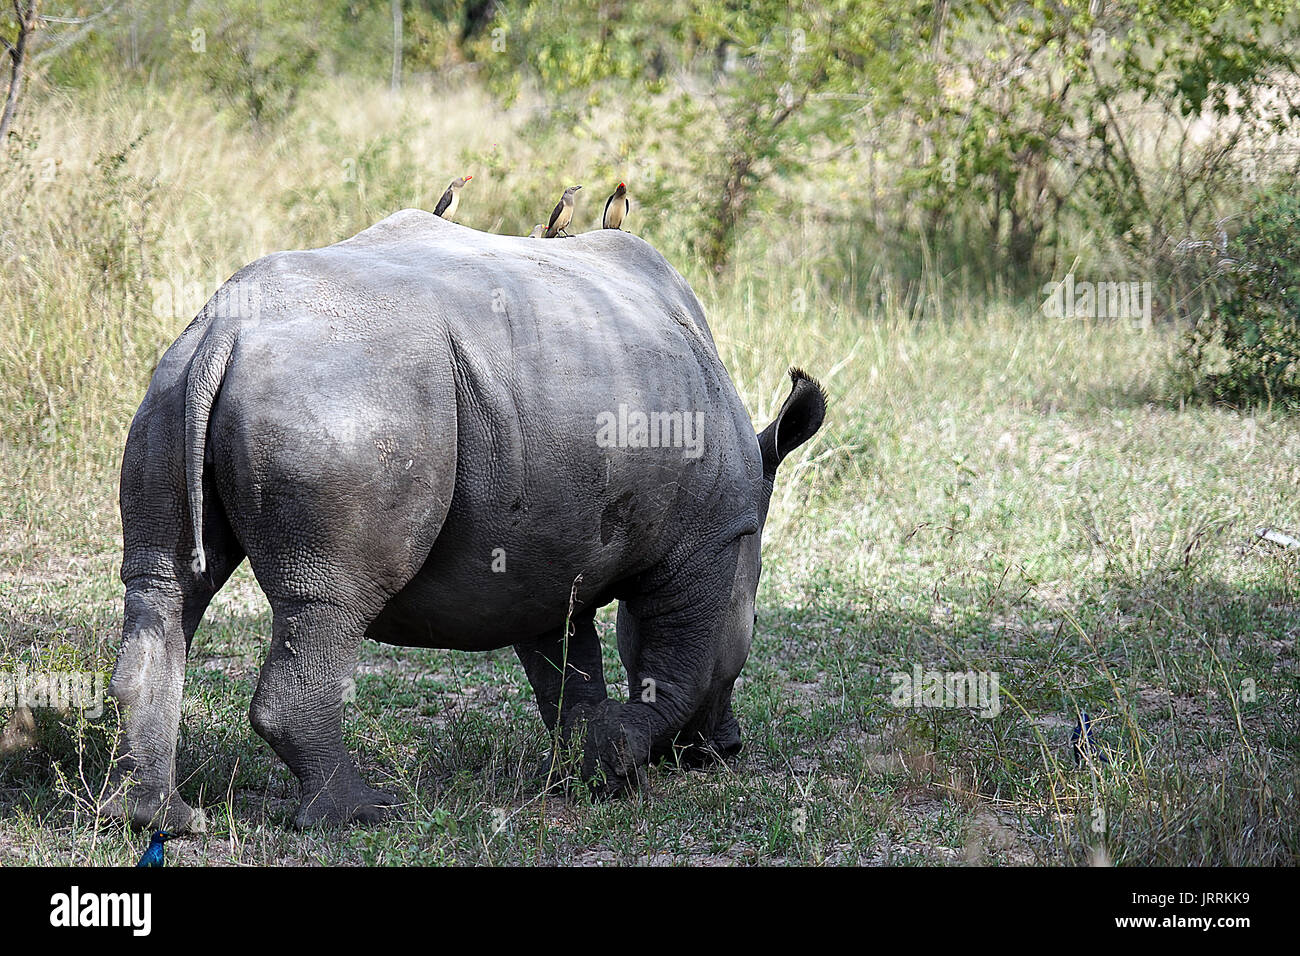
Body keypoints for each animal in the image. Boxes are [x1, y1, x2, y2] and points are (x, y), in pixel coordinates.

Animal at [106, 209, 826, 832]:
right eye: (757, 599)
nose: (725, 748)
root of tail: (226, 335)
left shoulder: (544, 544)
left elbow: (568, 663)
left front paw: (590, 768)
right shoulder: (712, 538)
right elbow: (681, 658)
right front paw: (624, 756)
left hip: (173, 387)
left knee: (166, 586)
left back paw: (156, 818)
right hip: (348, 397)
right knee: (330, 601)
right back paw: (362, 814)